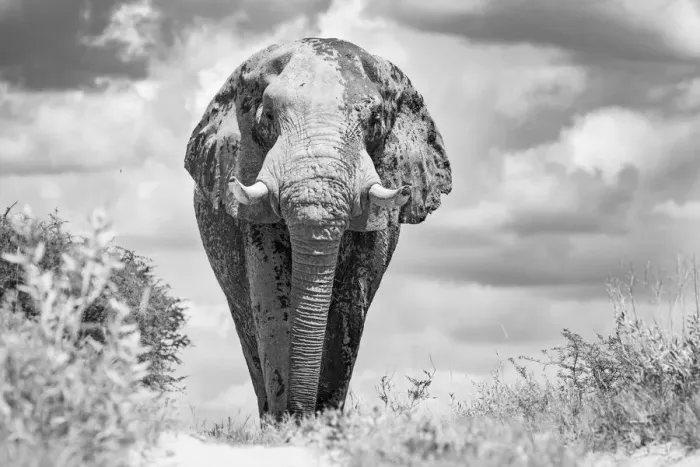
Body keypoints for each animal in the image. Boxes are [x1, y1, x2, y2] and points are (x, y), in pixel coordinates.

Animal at [184, 37, 452, 420]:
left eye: (375, 120)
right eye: (267, 115)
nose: (301, 414)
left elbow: (349, 306)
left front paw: (322, 421)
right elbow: (271, 299)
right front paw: (288, 424)